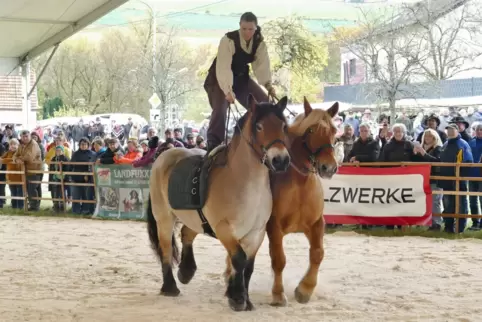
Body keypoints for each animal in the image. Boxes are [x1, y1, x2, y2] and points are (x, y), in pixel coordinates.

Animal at [146, 95, 290, 312]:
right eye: (259, 126)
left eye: (283, 125)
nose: (280, 160)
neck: (246, 184)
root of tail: (164, 154)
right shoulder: (223, 228)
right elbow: (238, 259)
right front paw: (237, 298)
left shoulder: (256, 232)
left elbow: (248, 266)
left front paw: (245, 300)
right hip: (164, 217)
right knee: (166, 248)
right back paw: (170, 286)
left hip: (195, 218)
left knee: (186, 233)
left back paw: (186, 271)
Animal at [268, 98, 338, 306]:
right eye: (311, 130)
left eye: (334, 130)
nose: (328, 167)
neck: (300, 182)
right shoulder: (274, 226)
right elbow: (279, 260)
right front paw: (278, 294)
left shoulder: (315, 224)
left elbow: (317, 253)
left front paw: (305, 289)